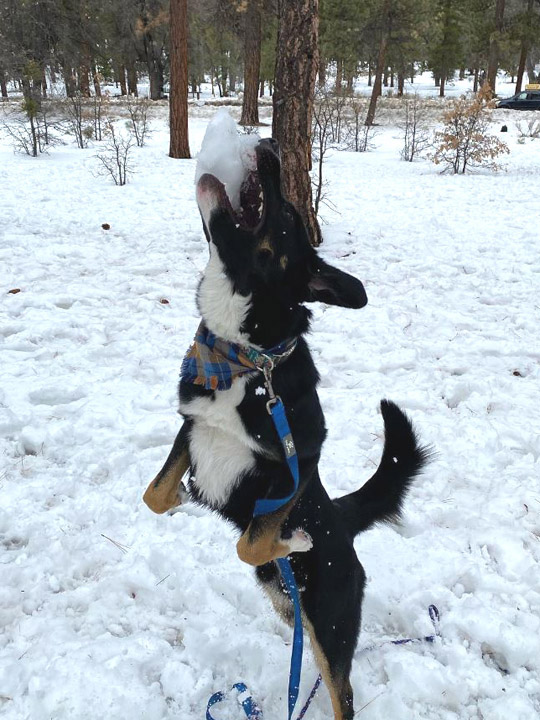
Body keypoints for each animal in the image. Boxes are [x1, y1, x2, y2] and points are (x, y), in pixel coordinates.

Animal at [144, 136, 430, 720]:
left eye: (289, 214)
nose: (270, 144)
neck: (248, 360)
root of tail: (342, 519)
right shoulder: (190, 427)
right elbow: (156, 496)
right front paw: (185, 497)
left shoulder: (299, 460)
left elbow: (250, 542)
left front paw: (293, 537)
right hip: (287, 606)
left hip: (329, 625)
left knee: (341, 691)